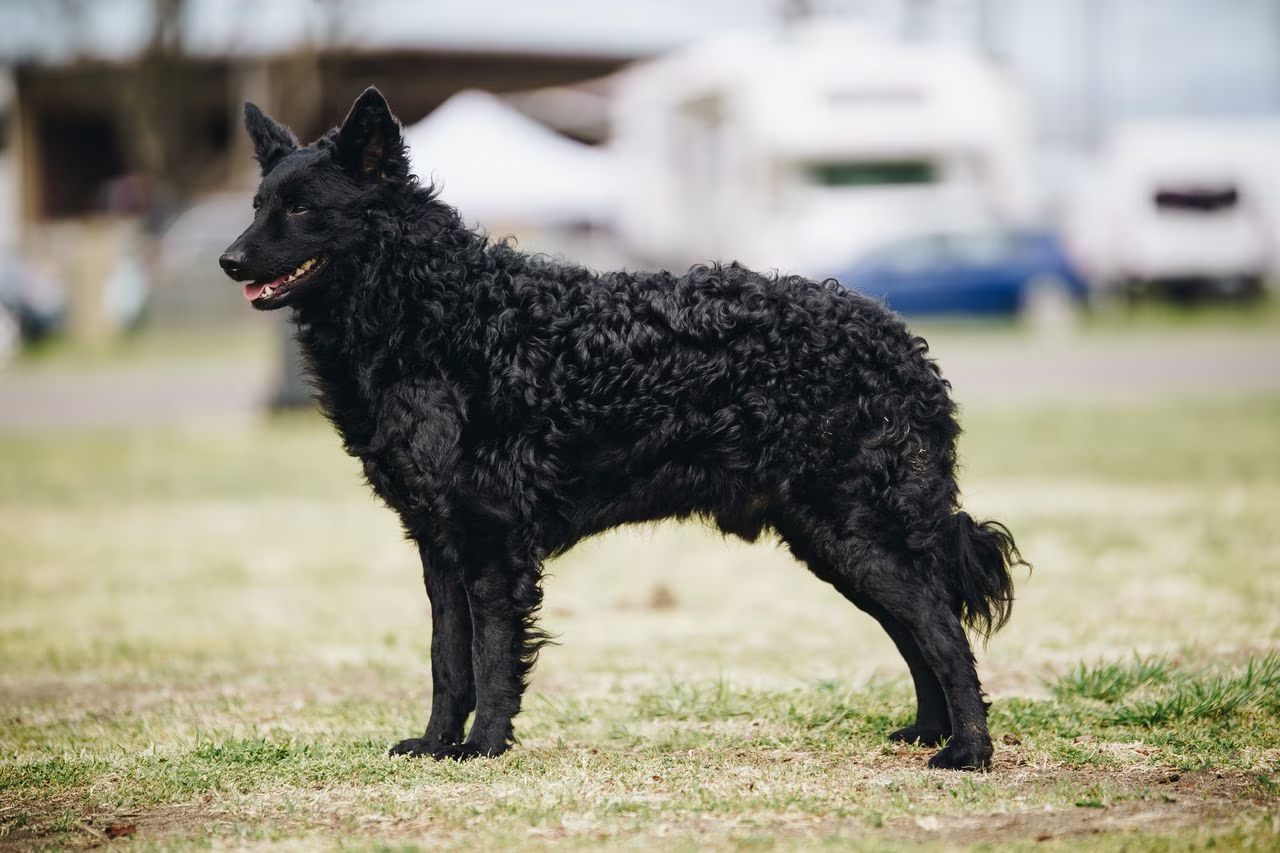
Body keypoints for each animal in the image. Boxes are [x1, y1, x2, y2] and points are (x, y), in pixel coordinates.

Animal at [217, 87, 1018, 768]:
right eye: (257, 204)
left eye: (302, 209)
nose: (229, 259)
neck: (438, 312)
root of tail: (901, 345)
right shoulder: (438, 541)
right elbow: (448, 661)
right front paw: (435, 746)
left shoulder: (491, 539)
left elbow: (493, 660)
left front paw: (484, 749)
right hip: (831, 537)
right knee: (916, 630)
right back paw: (928, 731)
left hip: (852, 528)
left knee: (941, 628)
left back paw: (966, 750)